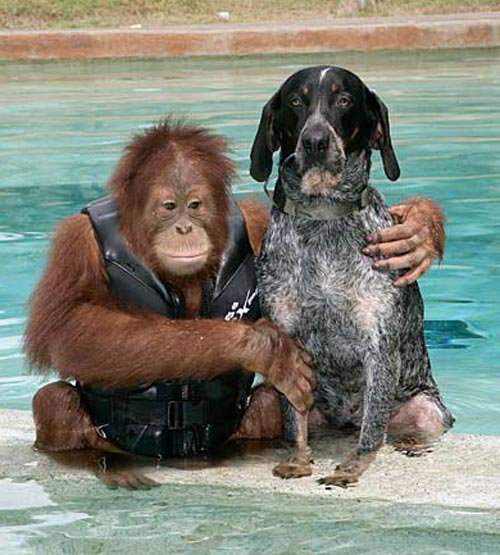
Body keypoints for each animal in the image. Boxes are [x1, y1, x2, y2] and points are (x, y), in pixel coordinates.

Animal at [250, 67, 454, 488]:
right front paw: (299, 459)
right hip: (266, 400)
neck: (323, 216)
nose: (314, 141)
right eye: (296, 101)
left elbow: (373, 429)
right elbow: (295, 424)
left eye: (343, 100)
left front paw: (354, 466)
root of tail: (344, 421)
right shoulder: (287, 344)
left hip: (425, 411)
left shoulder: (379, 344)